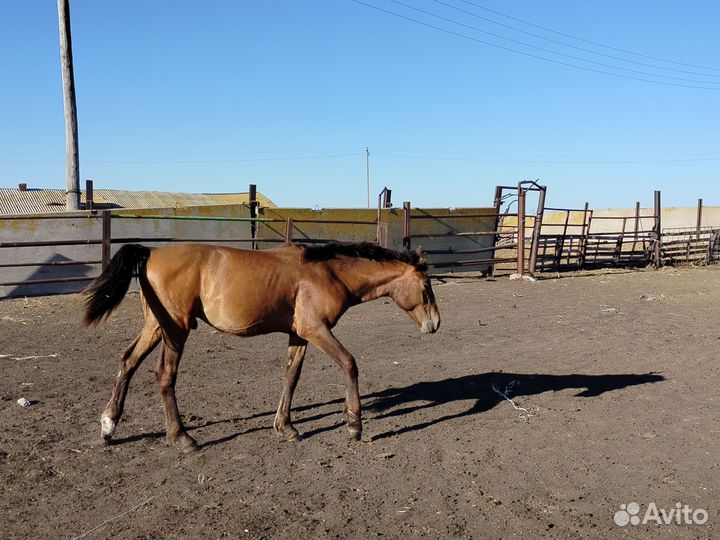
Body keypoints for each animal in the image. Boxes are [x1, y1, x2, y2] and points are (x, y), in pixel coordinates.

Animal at [83, 241, 441, 451]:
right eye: (425, 287)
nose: (435, 324)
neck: (326, 273)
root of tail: (152, 252)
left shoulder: (299, 334)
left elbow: (291, 377)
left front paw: (286, 427)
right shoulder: (315, 329)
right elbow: (349, 363)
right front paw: (354, 424)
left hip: (156, 326)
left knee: (128, 361)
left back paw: (109, 425)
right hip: (176, 329)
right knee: (164, 375)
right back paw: (181, 437)